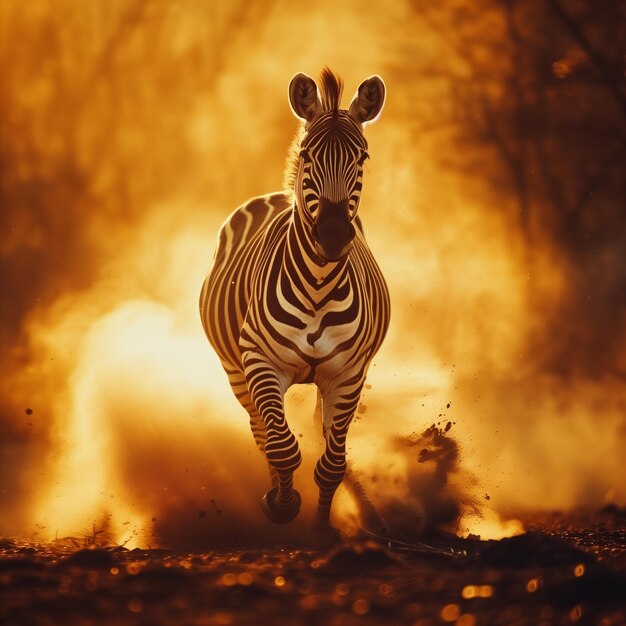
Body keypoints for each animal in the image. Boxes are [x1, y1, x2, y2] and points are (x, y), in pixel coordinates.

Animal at [200, 68, 388, 536]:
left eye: (362, 159)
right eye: (307, 154)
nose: (334, 235)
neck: (319, 284)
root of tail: (275, 195)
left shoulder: (348, 373)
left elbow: (331, 464)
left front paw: (322, 529)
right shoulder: (260, 360)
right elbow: (283, 447)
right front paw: (282, 506)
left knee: (319, 434)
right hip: (236, 371)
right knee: (262, 432)